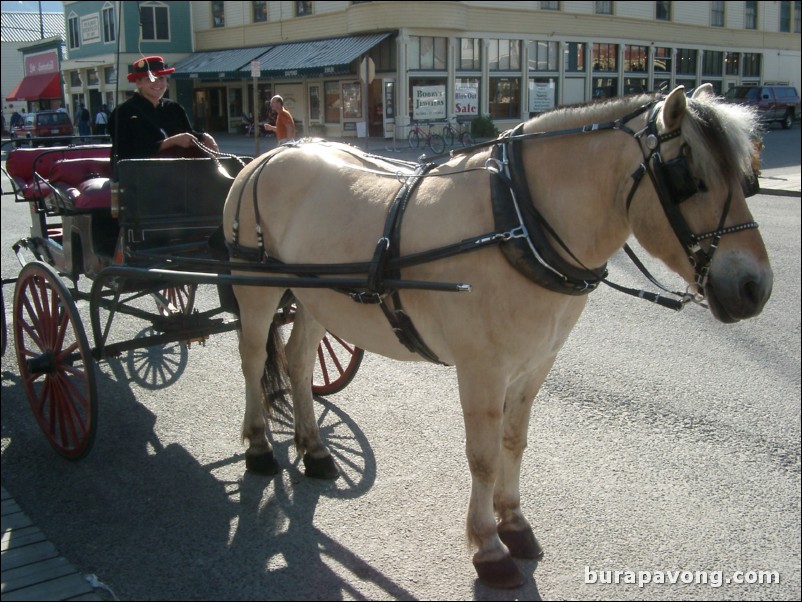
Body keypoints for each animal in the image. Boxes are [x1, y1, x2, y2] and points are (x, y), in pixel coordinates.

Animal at [222, 85, 772, 584]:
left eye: (748, 178)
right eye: (688, 178)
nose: (755, 287)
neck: (516, 222)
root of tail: (267, 157)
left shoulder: (535, 364)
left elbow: (514, 440)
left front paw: (515, 523)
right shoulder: (482, 369)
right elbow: (483, 457)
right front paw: (488, 546)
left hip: (319, 296)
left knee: (297, 359)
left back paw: (314, 449)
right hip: (256, 288)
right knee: (252, 359)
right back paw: (259, 447)